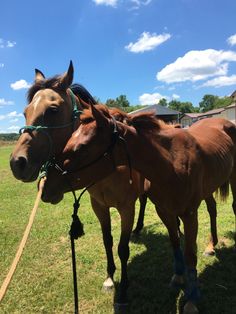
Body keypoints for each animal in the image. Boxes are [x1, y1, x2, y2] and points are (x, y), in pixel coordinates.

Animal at [45, 104, 236, 312]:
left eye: (81, 148)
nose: (44, 187)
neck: (171, 163)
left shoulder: (189, 214)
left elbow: (190, 255)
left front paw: (192, 299)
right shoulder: (164, 211)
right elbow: (175, 242)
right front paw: (178, 277)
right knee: (212, 209)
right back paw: (211, 245)